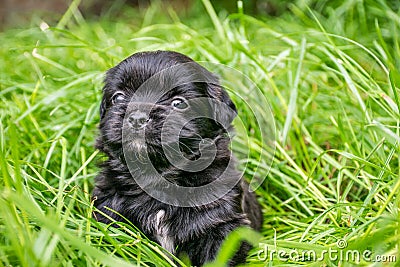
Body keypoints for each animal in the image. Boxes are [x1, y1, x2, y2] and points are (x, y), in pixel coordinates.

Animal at [93, 50, 262, 266]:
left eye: (178, 102)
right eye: (118, 97)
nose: (137, 118)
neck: (160, 177)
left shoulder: (221, 225)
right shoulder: (109, 214)